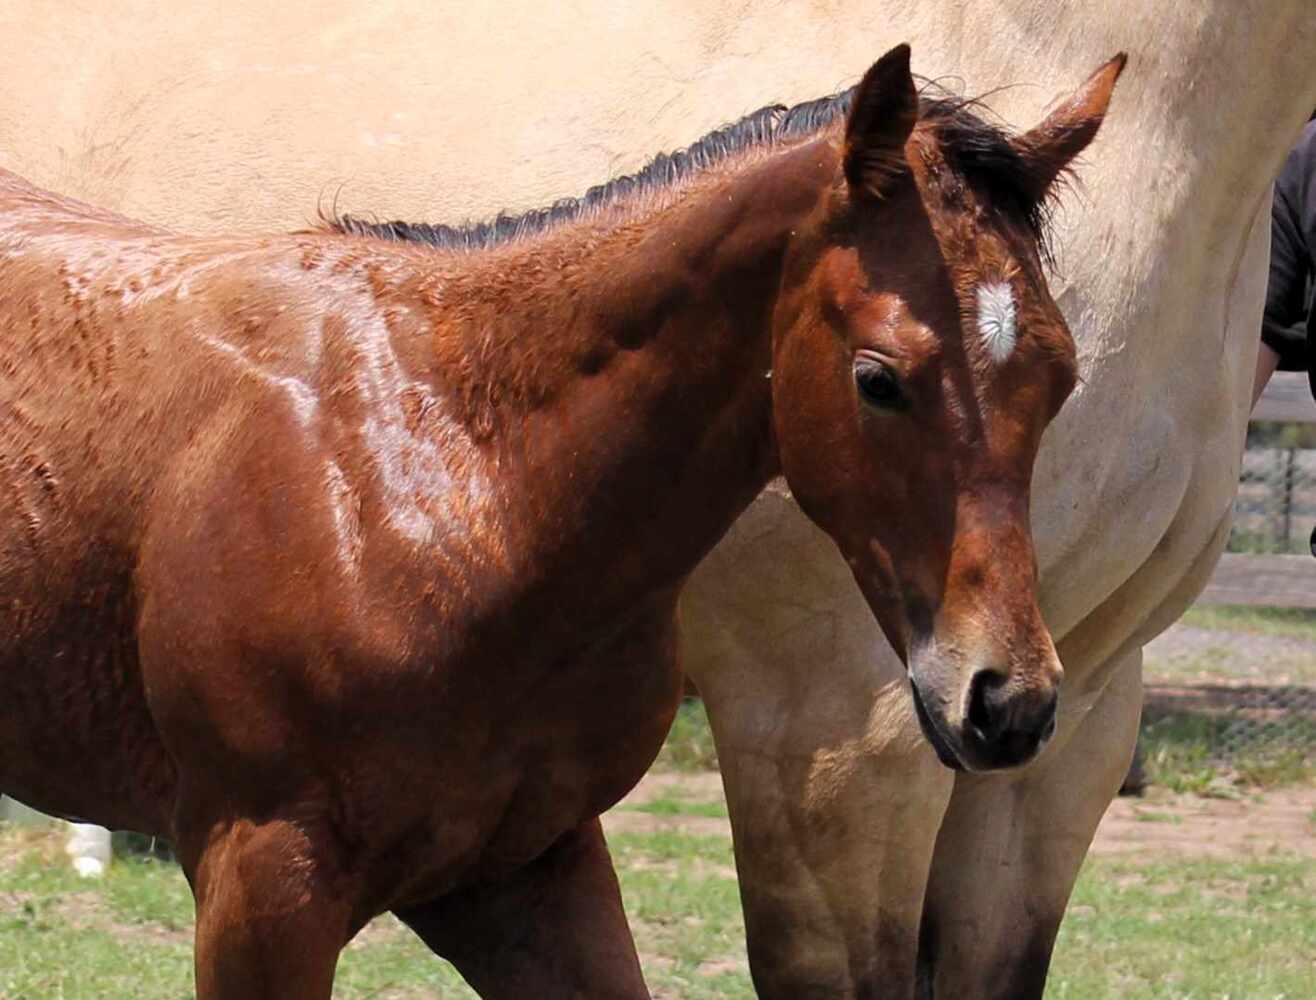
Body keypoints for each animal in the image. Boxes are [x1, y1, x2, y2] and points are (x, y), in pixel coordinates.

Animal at [0, 46, 1120, 997]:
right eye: (878, 379)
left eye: (1062, 376)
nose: (1006, 702)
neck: (452, 479)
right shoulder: (260, 882)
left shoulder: (528, 866)